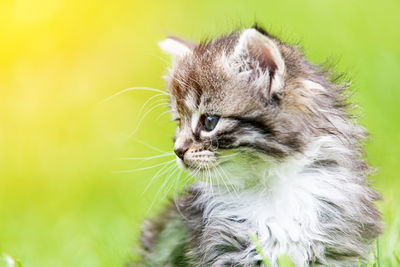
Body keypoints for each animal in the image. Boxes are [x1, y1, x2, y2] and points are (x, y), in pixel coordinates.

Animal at [137, 25, 382, 267]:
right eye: (180, 122)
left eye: (209, 122)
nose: (178, 151)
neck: (272, 186)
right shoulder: (222, 248)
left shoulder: (337, 243)